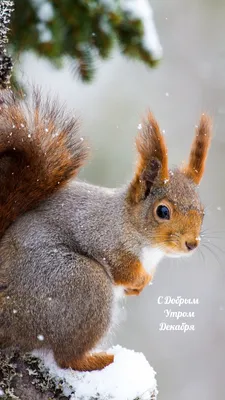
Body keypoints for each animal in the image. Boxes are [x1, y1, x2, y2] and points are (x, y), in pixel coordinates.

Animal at [0, 89, 212, 370]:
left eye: (203, 211)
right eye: (163, 211)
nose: (192, 243)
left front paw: (140, 286)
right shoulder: (102, 235)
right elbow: (121, 267)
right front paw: (139, 280)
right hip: (82, 284)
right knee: (66, 357)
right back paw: (99, 359)